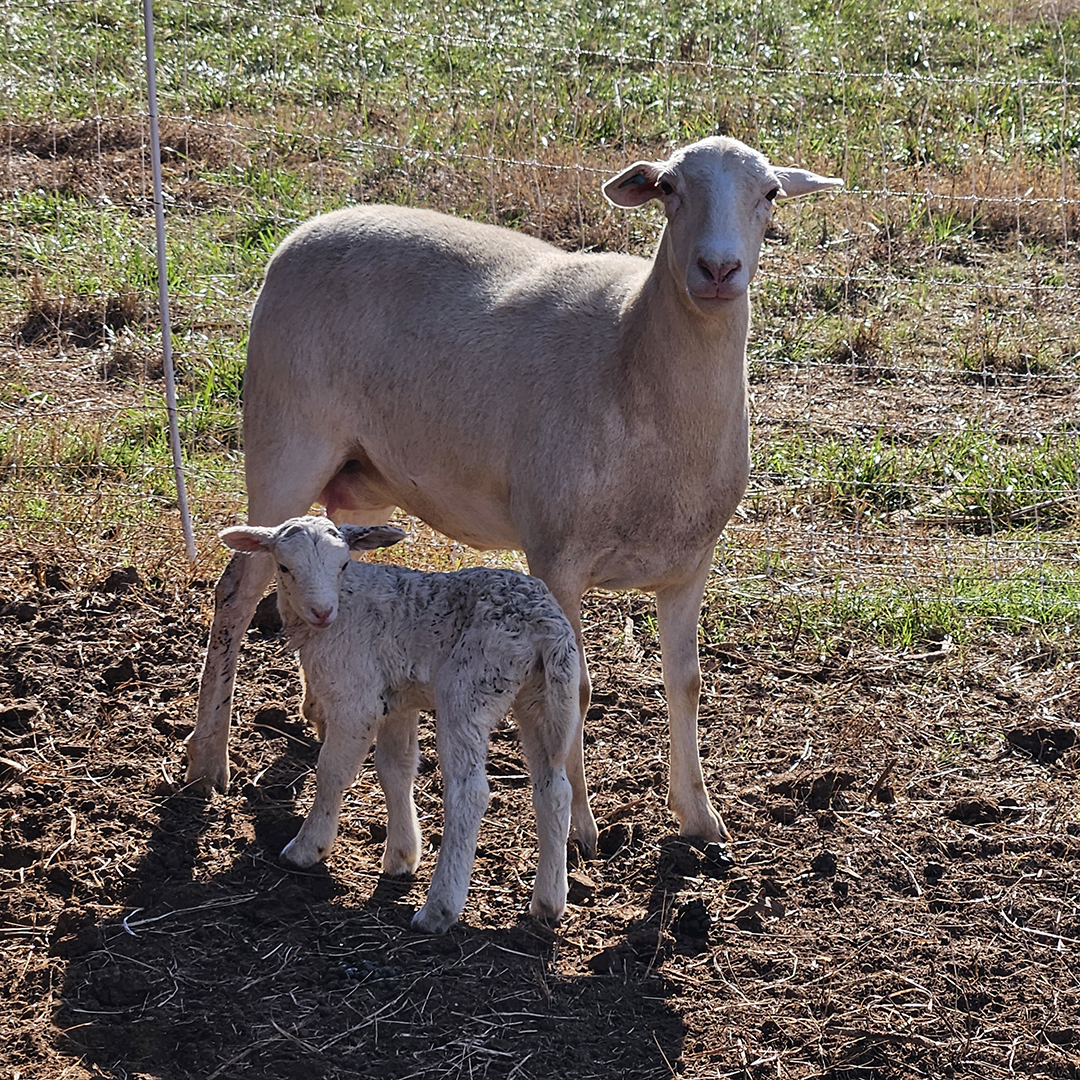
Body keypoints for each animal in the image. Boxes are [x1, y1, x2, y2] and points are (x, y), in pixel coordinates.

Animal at [187, 137, 842, 859]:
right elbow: (575, 689)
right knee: (236, 592)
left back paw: (316, 713)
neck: (631, 357)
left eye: (770, 194)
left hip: (360, 478)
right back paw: (207, 761)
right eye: (669, 188)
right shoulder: (557, 557)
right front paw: (580, 826)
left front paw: (699, 817)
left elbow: (687, 683)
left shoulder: (688, 563)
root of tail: (302, 232)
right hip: (285, 440)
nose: (718, 269)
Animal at [214, 511, 578, 928]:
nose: (322, 612)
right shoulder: (397, 700)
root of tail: (545, 623)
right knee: (554, 788)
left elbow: (332, 771)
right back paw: (548, 903)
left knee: (469, 793)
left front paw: (307, 848)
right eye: (285, 567)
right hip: (545, 696)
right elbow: (395, 769)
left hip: (470, 686)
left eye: (343, 564)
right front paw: (402, 857)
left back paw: (439, 908)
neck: (346, 605)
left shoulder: (356, 700)